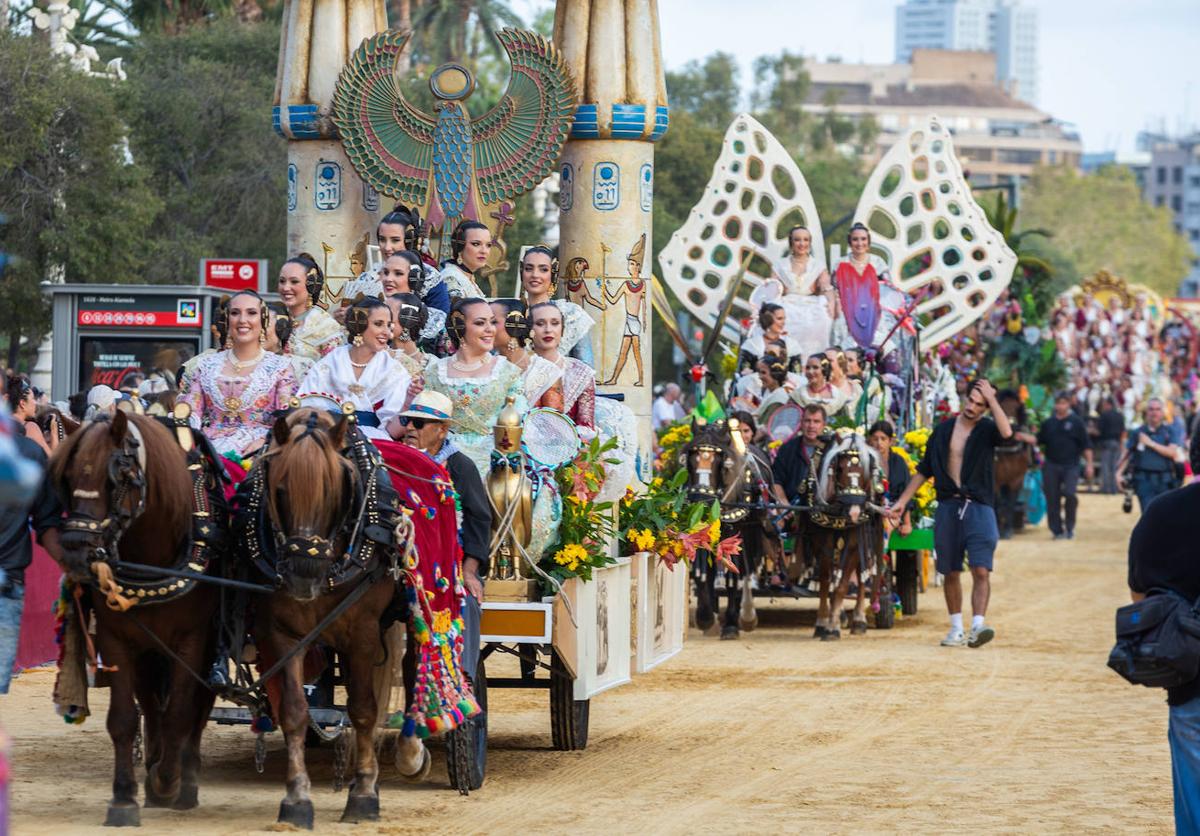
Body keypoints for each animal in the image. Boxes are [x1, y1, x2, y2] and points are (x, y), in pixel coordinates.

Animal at [48, 407, 223, 825]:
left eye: (118, 476)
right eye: (67, 476)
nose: (75, 548)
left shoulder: (192, 640)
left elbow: (180, 712)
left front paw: (168, 780)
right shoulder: (118, 639)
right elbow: (125, 718)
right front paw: (125, 796)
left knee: (197, 707)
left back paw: (184, 777)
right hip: (147, 649)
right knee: (150, 700)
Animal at [238, 407, 412, 825]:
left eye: (334, 490)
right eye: (279, 490)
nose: (304, 573)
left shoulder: (362, 634)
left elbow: (363, 710)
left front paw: (363, 792)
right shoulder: (280, 634)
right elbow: (294, 711)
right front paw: (297, 797)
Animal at [806, 429, 883, 638]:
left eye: (865, 470)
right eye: (839, 468)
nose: (855, 511)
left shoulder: (855, 544)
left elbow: (842, 586)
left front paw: (832, 627)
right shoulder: (822, 545)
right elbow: (826, 583)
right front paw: (823, 622)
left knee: (862, 576)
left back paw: (859, 620)